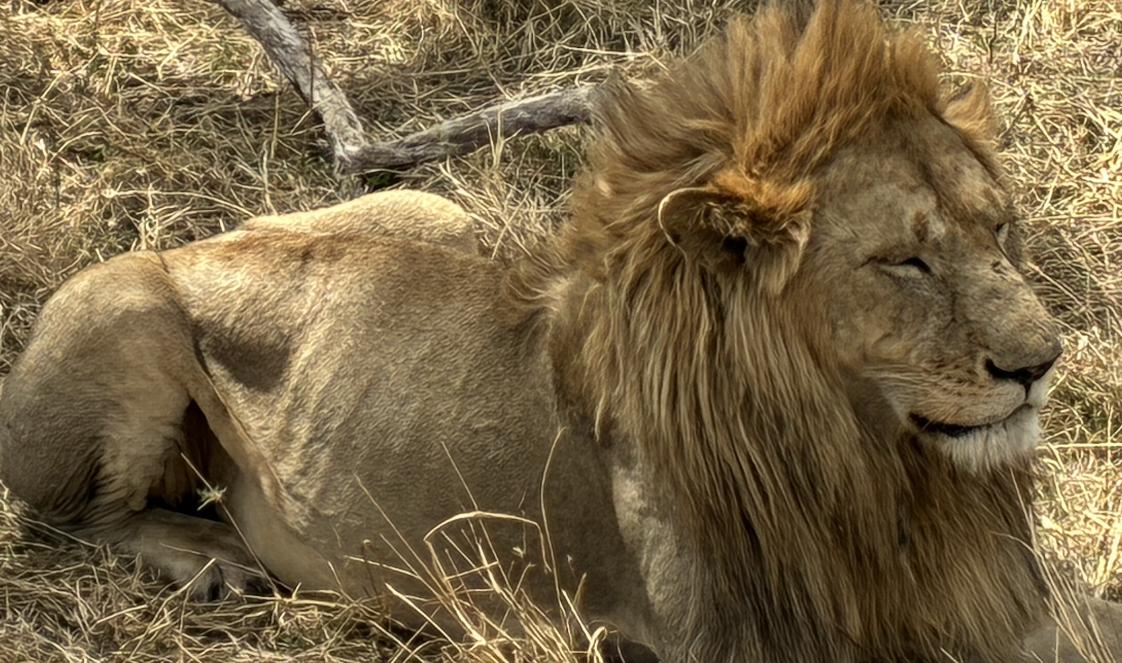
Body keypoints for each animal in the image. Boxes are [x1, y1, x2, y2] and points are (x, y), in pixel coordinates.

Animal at [1, 0, 1120, 660]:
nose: (1043, 364)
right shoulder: (728, 642)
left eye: (999, 230)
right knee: (74, 515)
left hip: (435, 209)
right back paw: (211, 559)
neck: (881, 470)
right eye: (905, 262)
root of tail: (203, 240)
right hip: (134, 308)